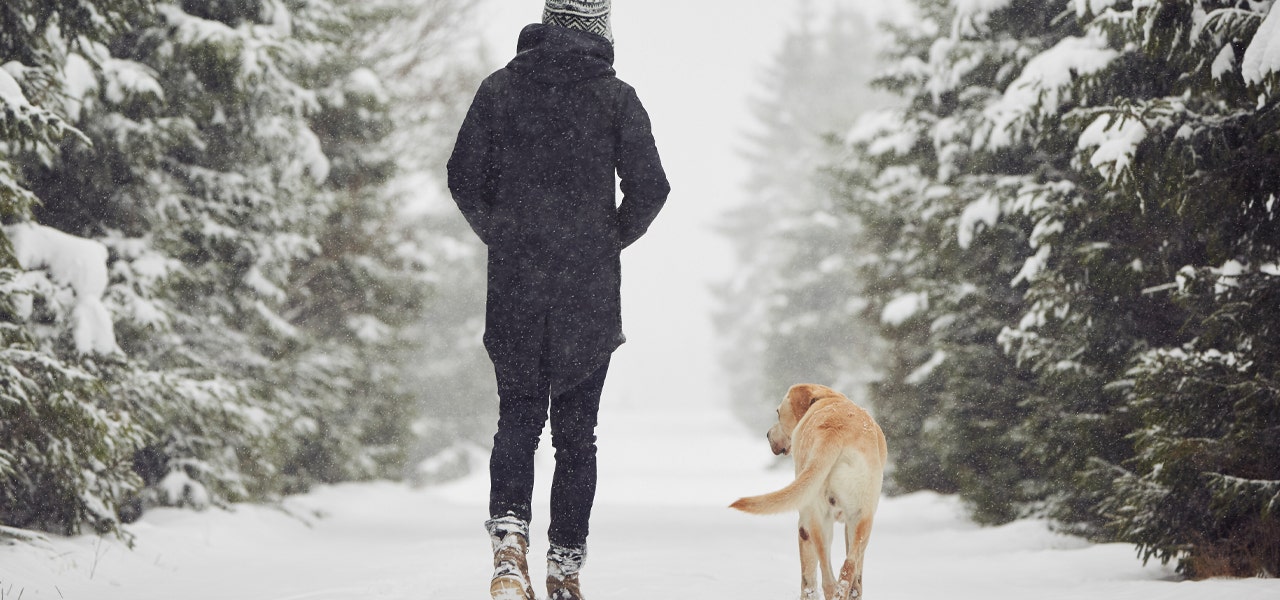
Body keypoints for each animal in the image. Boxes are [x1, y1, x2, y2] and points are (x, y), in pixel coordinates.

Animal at [732, 383, 890, 598]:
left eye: (778, 412)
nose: (767, 434)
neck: (827, 399)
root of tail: (834, 431)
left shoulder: (806, 526)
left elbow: (807, 577)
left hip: (816, 521)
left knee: (828, 578)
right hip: (860, 519)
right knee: (846, 570)